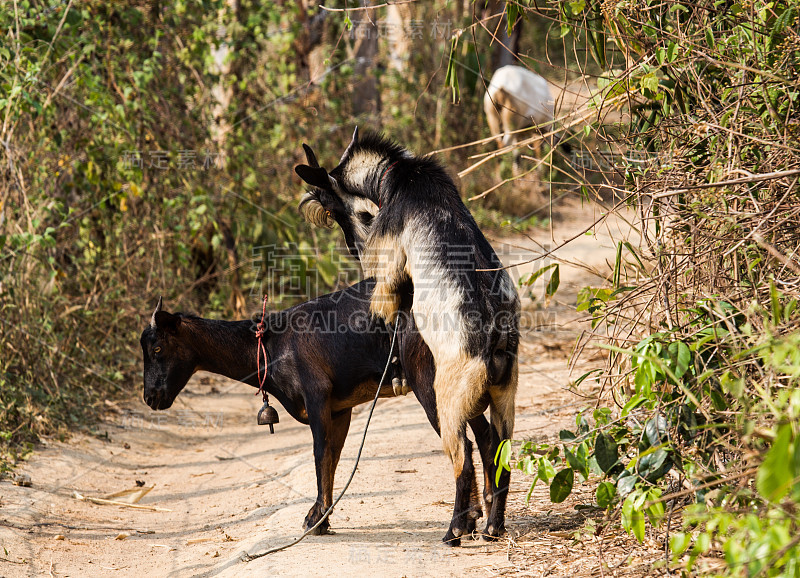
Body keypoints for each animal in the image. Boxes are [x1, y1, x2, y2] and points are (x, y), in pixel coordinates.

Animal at [141, 282, 496, 544]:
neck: (271, 345)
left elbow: (320, 454)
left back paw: (456, 528)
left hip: (430, 382)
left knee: (462, 446)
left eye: (158, 348)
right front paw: (322, 516)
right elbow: (333, 458)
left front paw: (315, 520)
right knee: (486, 437)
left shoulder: (316, 396)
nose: (151, 397)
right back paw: (486, 521)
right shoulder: (340, 410)